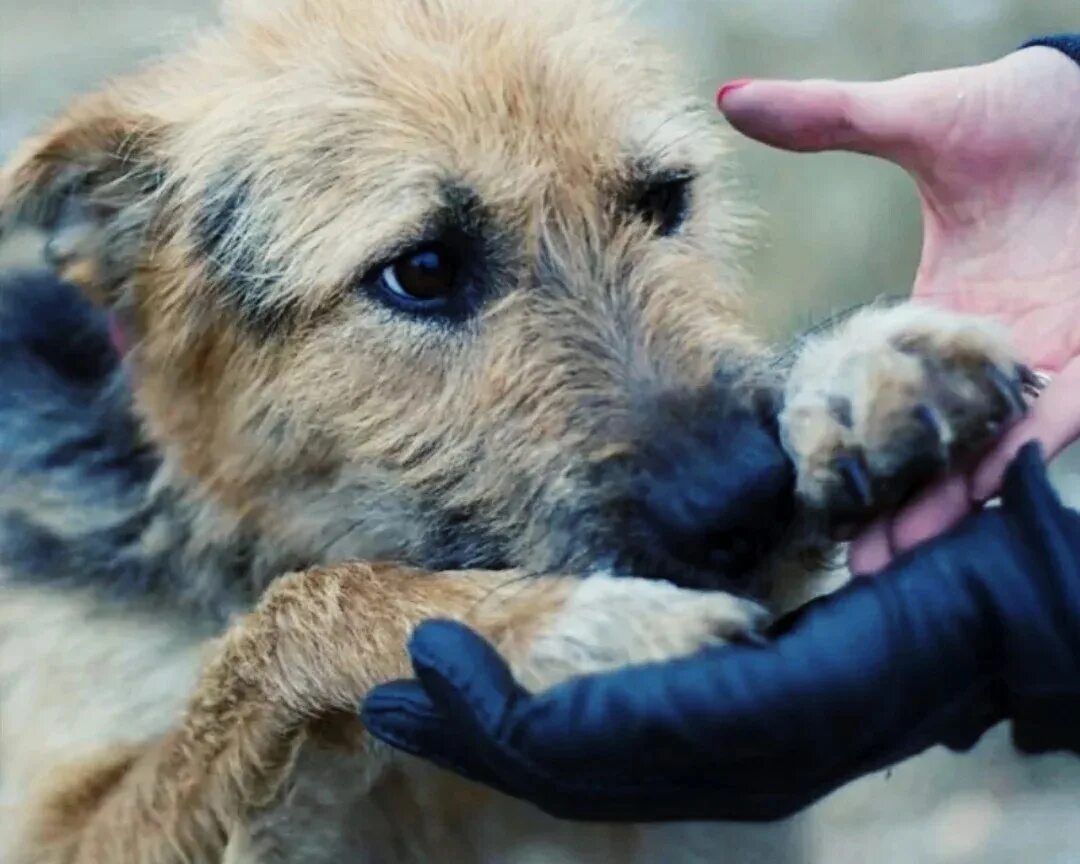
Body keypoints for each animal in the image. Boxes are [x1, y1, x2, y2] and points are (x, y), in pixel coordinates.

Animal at [0, 1, 1028, 864]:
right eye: (420, 269)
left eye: (665, 199)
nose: (747, 496)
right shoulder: (66, 832)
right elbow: (285, 621)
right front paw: (550, 627)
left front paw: (859, 370)